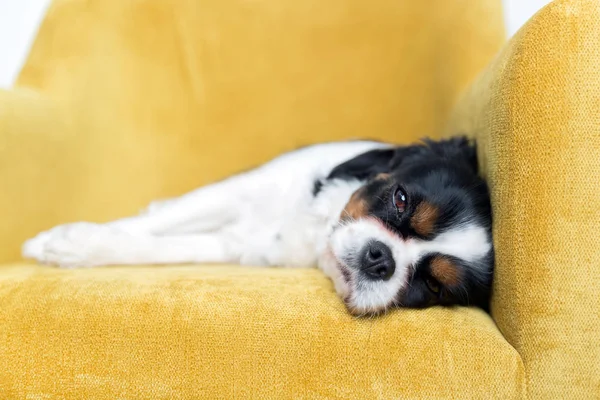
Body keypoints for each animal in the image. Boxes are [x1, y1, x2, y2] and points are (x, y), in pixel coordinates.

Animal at [22, 138, 492, 316]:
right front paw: (64, 241)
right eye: (400, 199)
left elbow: (164, 246)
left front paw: (80, 244)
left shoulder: (235, 245)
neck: (315, 230)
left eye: (432, 286)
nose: (382, 259)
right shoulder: (237, 192)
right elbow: (152, 224)